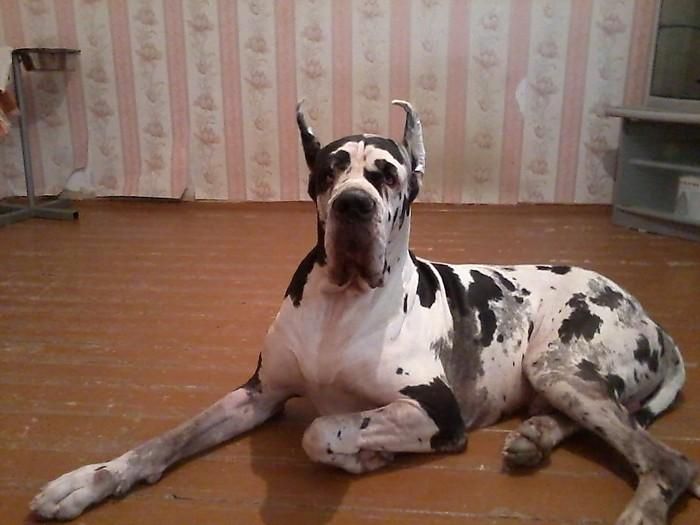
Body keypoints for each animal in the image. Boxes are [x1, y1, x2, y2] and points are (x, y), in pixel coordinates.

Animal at [31, 101, 699, 524]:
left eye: (388, 175)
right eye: (327, 173)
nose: (353, 206)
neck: (340, 304)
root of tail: (653, 320)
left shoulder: (437, 411)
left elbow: (321, 429)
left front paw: (365, 452)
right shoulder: (259, 393)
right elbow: (169, 438)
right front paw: (90, 480)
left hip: (559, 365)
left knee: (669, 461)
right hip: (560, 380)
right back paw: (535, 437)